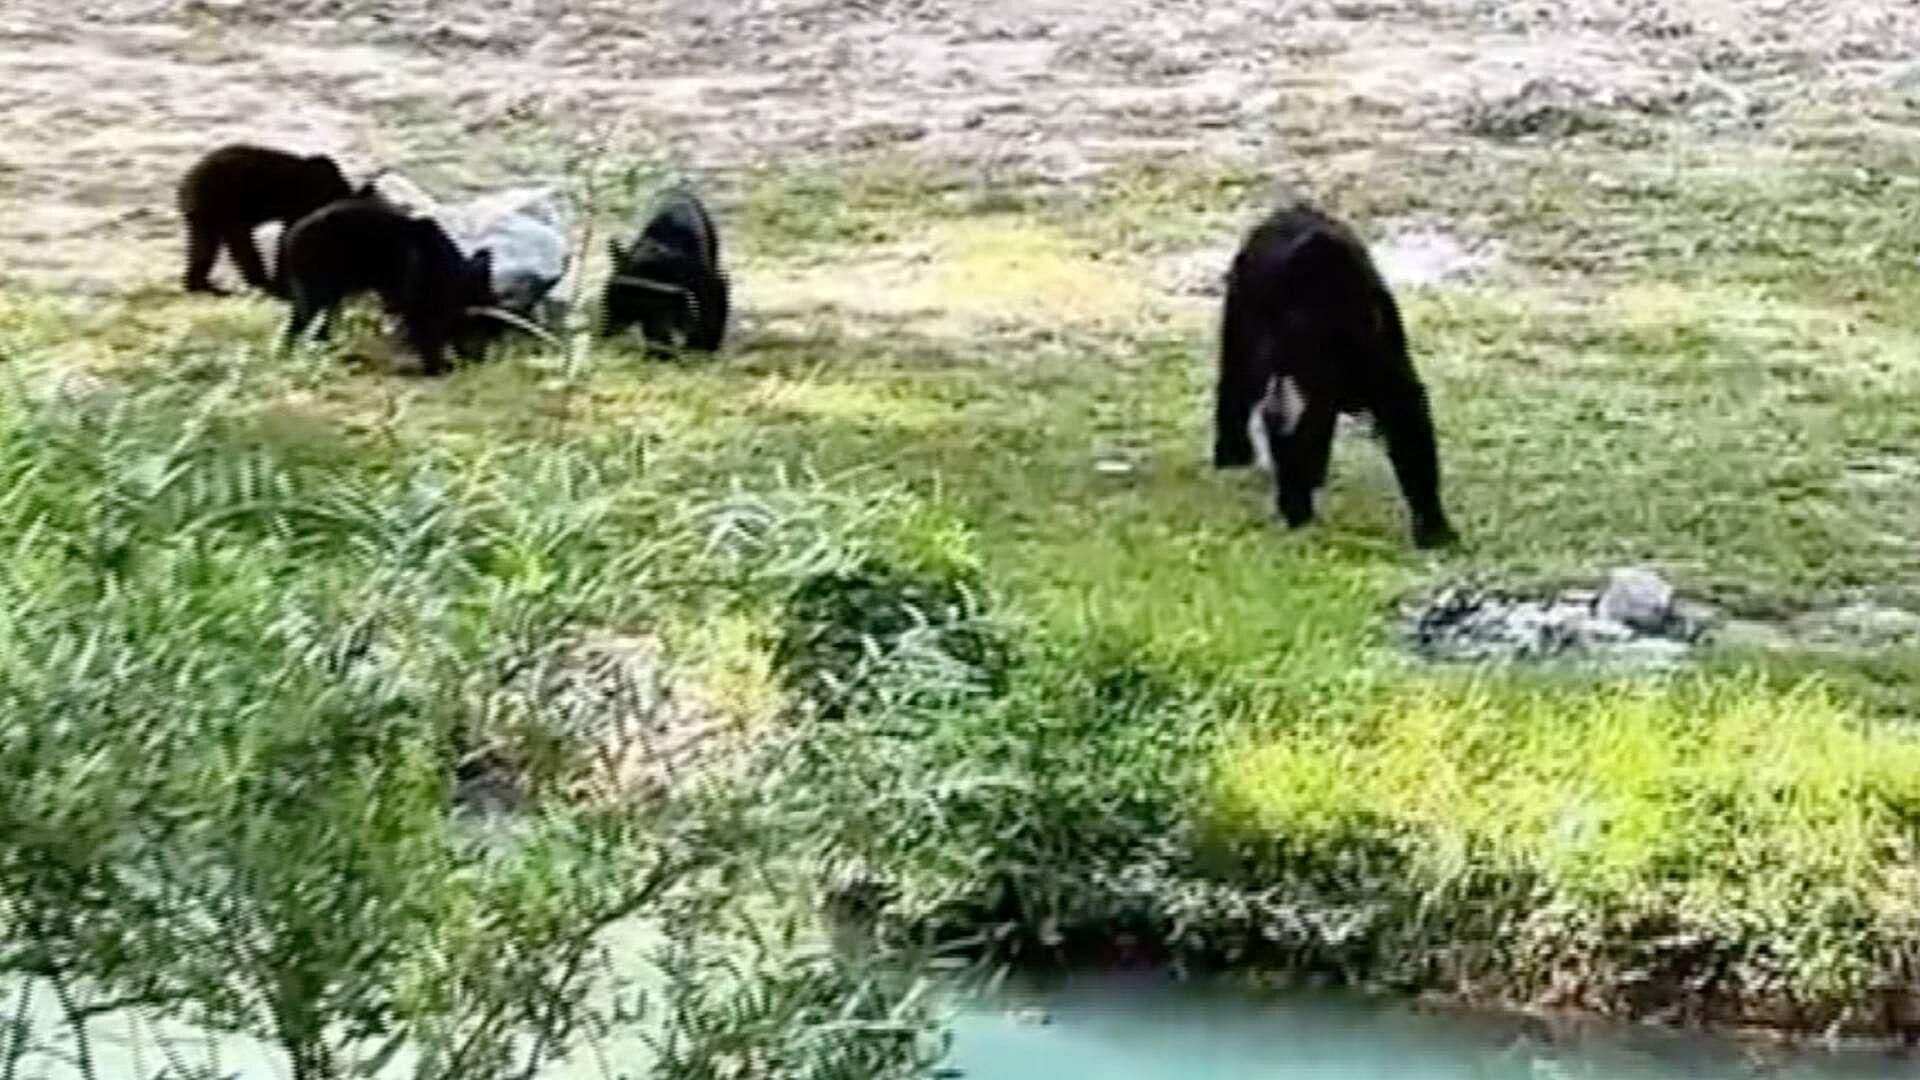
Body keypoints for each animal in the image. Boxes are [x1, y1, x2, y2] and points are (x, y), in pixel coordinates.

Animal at [177, 144, 353, 296]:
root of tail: (185, 188)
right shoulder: (305, 199)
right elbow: (289, 234)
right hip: (223, 201)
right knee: (238, 241)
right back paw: (261, 286)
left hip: (208, 212)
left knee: (205, 243)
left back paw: (202, 287)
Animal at [275, 198, 495, 377]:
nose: (480, 359)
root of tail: (291, 237)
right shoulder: (421, 297)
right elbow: (427, 330)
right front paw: (436, 366)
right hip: (320, 276)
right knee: (315, 318)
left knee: (301, 318)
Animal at [1213, 202, 1457, 550]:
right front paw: (1297, 512)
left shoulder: (1385, 374)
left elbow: (1408, 424)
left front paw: (1434, 527)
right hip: (1238, 331)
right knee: (1234, 385)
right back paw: (1234, 456)